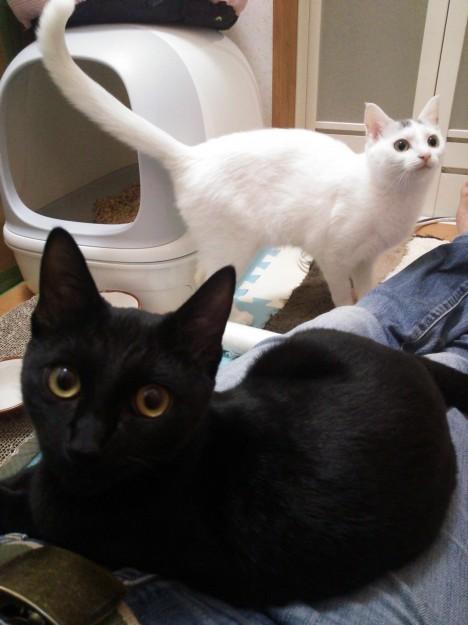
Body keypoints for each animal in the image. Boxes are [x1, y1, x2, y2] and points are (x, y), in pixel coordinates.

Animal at [37, 0, 445, 316]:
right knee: (206, 280)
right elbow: (343, 294)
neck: (394, 198)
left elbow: (367, 286)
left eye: (433, 140)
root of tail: (194, 154)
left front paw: (367, 303)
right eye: (401, 146)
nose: (426, 155)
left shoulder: (365, 259)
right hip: (233, 244)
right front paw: (347, 312)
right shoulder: (333, 255)